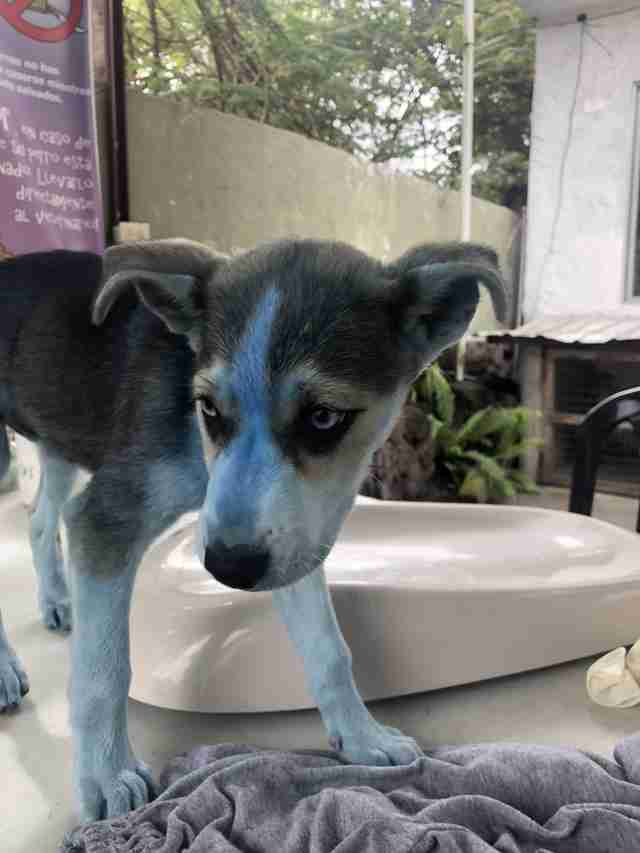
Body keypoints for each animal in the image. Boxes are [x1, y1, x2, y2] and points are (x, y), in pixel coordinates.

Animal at [0, 238, 504, 820]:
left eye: (324, 417)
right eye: (208, 407)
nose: (228, 569)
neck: (197, 445)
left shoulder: (292, 537)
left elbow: (329, 649)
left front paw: (362, 738)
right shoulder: (106, 520)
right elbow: (104, 671)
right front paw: (107, 775)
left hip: (58, 439)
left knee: (40, 519)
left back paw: (58, 600)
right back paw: (6, 669)